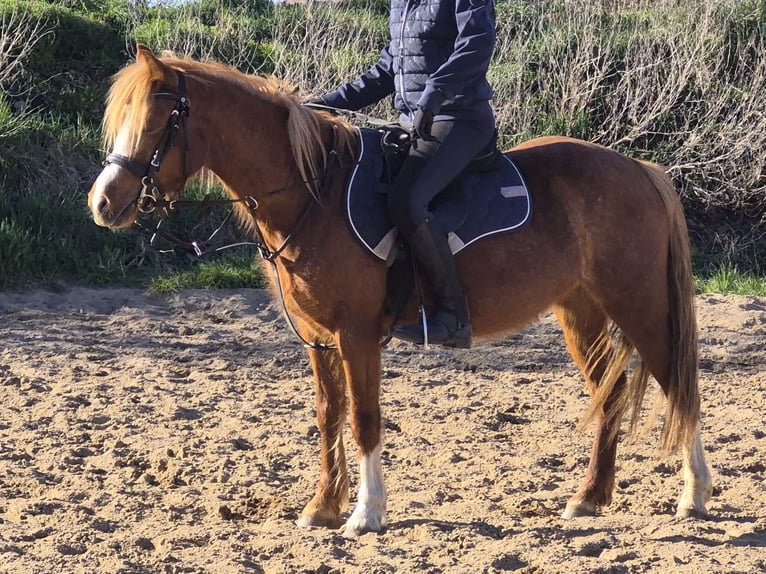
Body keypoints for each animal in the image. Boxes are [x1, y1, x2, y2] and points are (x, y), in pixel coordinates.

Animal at [88, 45, 712, 538]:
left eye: (156, 123)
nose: (103, 202)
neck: (314, 194)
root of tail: (637, 168)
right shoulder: (317, 339)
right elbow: (329, 415)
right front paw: (323, 506)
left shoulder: (357, 335)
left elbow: (366, 418)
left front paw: (365, 514)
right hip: (579, 312)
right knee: (611, 392)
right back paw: (589, 498)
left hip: (640, 306)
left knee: (679, 386)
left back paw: (694, 495)